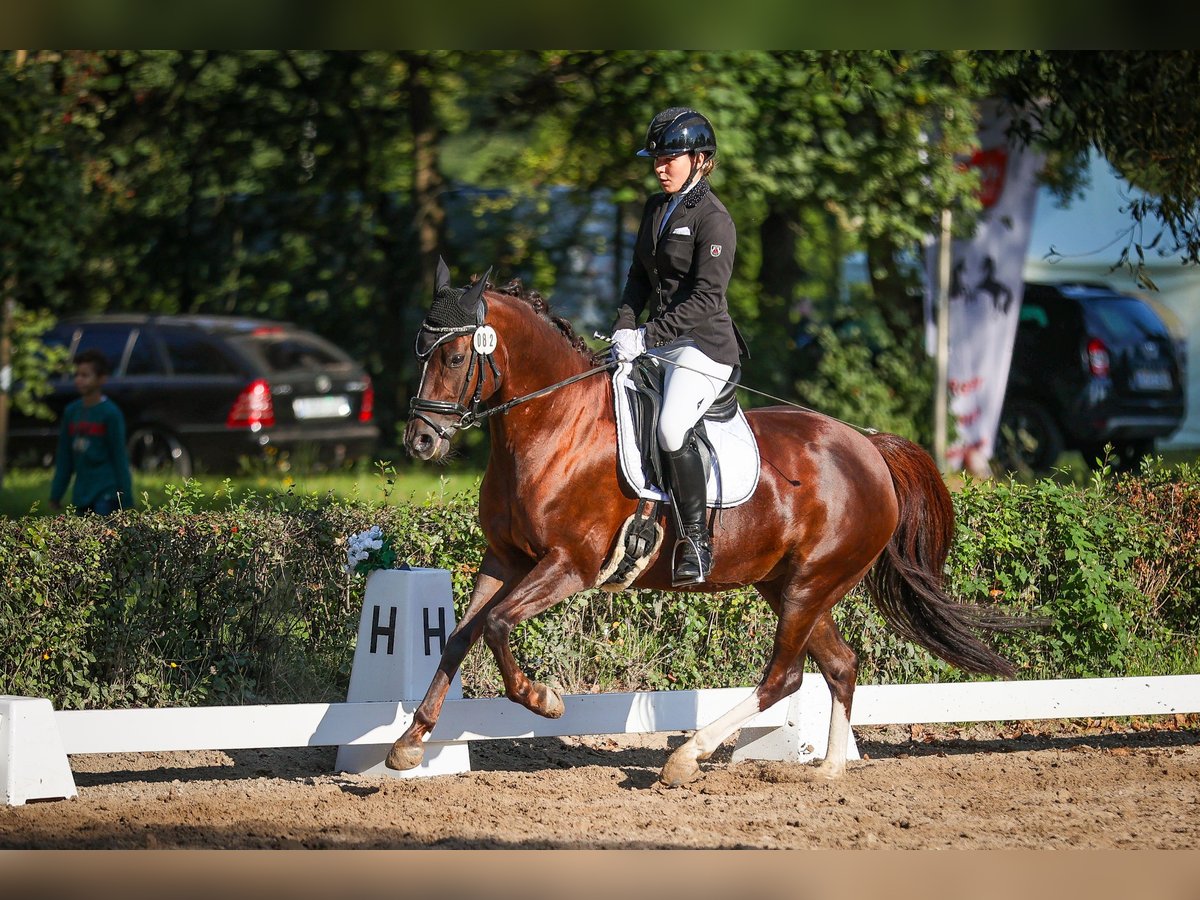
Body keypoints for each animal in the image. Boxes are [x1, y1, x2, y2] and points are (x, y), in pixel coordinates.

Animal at [391, 262, 1022, 787]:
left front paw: (543, 699)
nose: (421, 440)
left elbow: (497, 625)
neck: (554, 423)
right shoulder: (504, 558)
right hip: (791, 585)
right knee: (838, 666)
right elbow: (460, 635)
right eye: (420, 353)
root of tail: (868, 446)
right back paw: (829, 770)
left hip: (812, 583)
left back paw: (686, 757)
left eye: (453, 358)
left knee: (783, 676)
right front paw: (410, 741)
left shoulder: (570, 564)